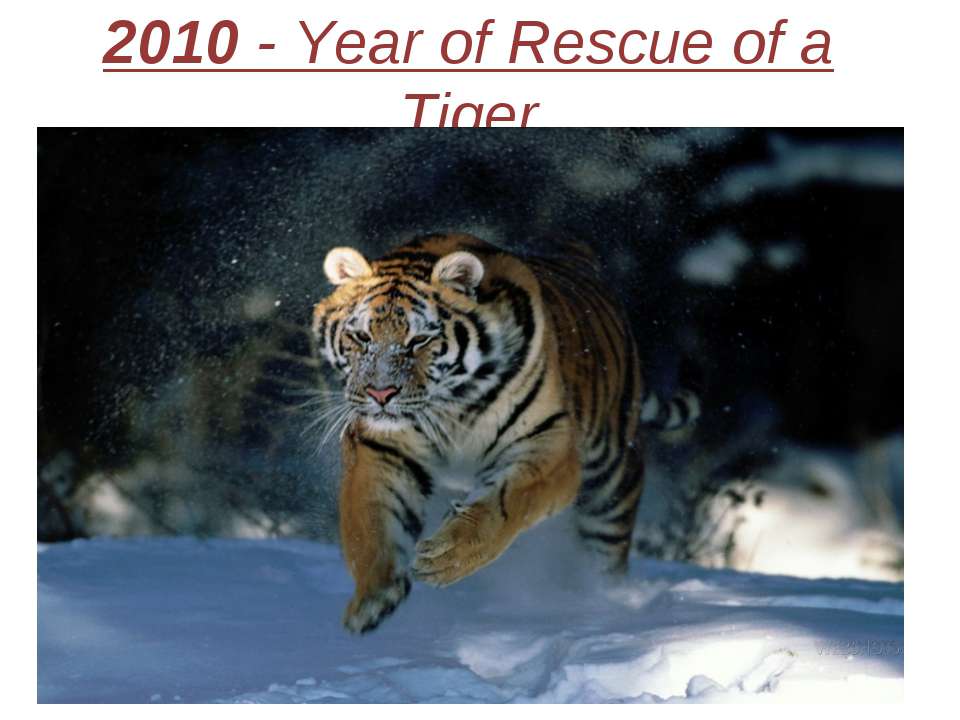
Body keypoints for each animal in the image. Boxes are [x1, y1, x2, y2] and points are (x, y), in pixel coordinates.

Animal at [311, 233, 700, 633]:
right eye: (361, 336)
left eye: (419, 340)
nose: (381, 393)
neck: (452, 405)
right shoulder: (381, 447)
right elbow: (370, 519)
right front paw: (374, 595)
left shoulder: (549, 442)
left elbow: (505, 504)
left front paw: (448, 557)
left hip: (611, 487)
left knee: (606, 557)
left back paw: (605, 606)